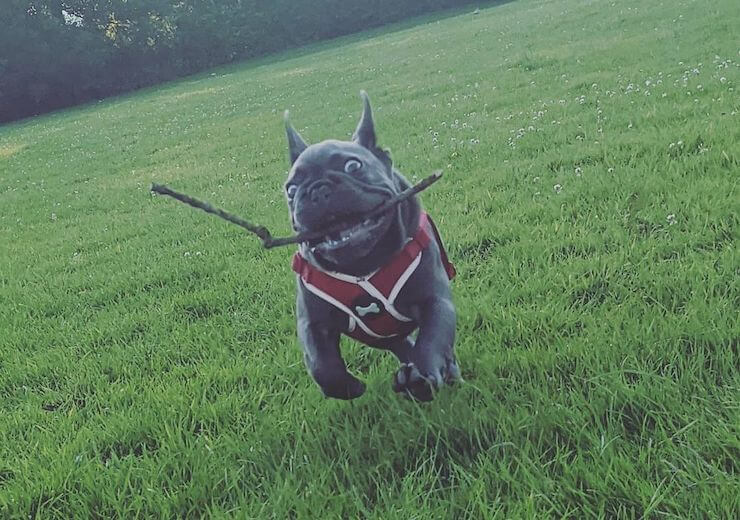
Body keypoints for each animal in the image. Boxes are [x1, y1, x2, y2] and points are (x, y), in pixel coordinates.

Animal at [286, 92, 460, 402]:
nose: (317, 188)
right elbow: (321, 365)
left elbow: (432, 338)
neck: (362, 265)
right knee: (400, 344)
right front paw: (348, 387)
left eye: (353, 166)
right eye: (291, 190)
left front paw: (422, 375)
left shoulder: (434, 301)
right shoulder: (313, 324)